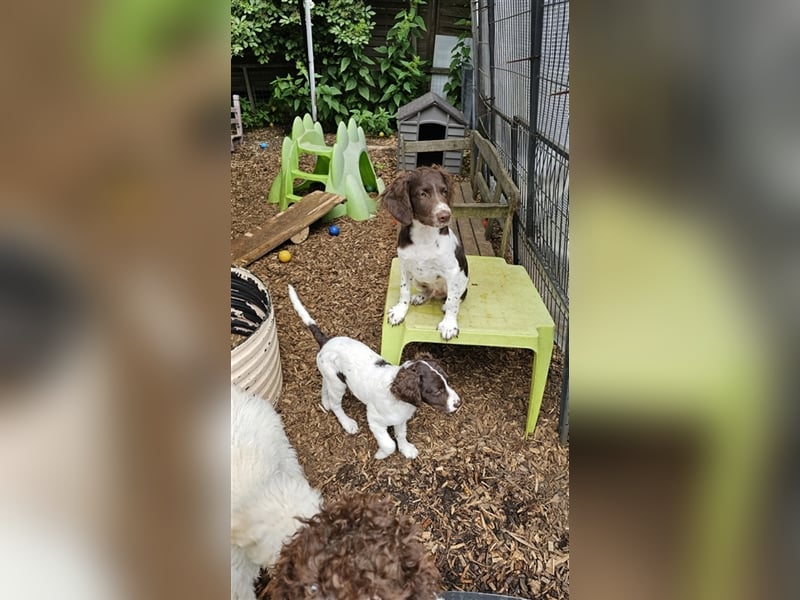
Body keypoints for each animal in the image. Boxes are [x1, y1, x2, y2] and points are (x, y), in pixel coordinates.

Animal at [382, 166, 468, 340]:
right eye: (423, 194)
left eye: (444, 191)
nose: (445, 215)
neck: (424, 236)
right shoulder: (404, 266)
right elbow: (404, 290)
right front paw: (400, 311)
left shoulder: (453, 271)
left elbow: (453, 301)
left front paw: (449, 324)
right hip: (418, 279)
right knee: (429, 291)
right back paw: (420, 297)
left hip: (462, 282)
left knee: (455, 297)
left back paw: (445, 305)